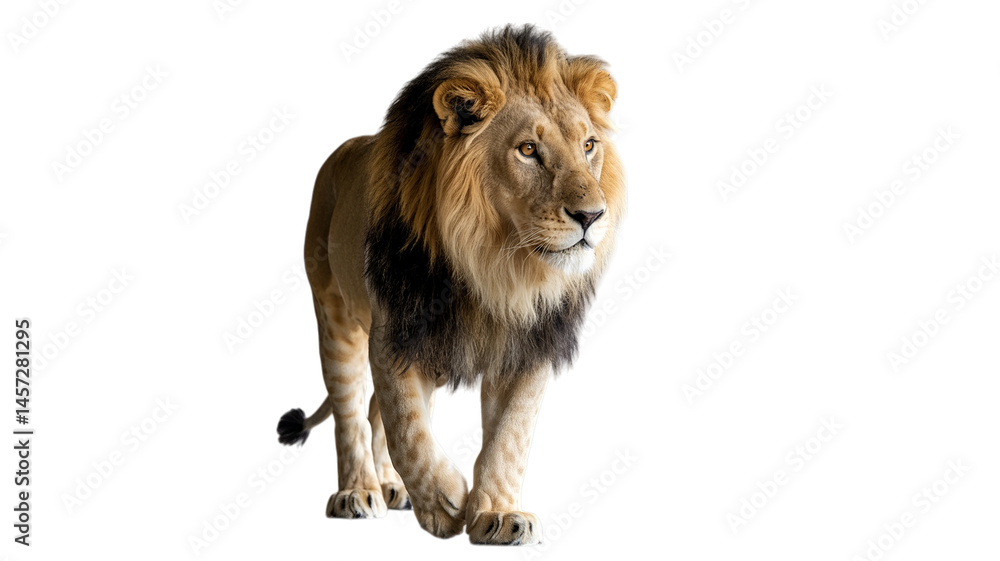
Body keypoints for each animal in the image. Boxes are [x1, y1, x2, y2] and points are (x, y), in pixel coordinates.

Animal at [276, 24, 625, 545]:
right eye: (528, 150)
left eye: (588, 146)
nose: (592, 216)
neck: (497, 267)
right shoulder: (396, 333)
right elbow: (409, 428)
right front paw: (443, 501)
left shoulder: (528, 346)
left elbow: (510, 436)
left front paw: (499, 514)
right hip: (336, 316)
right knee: (350, 410)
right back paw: (358, 492)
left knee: (374, 410)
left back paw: (392, 487)